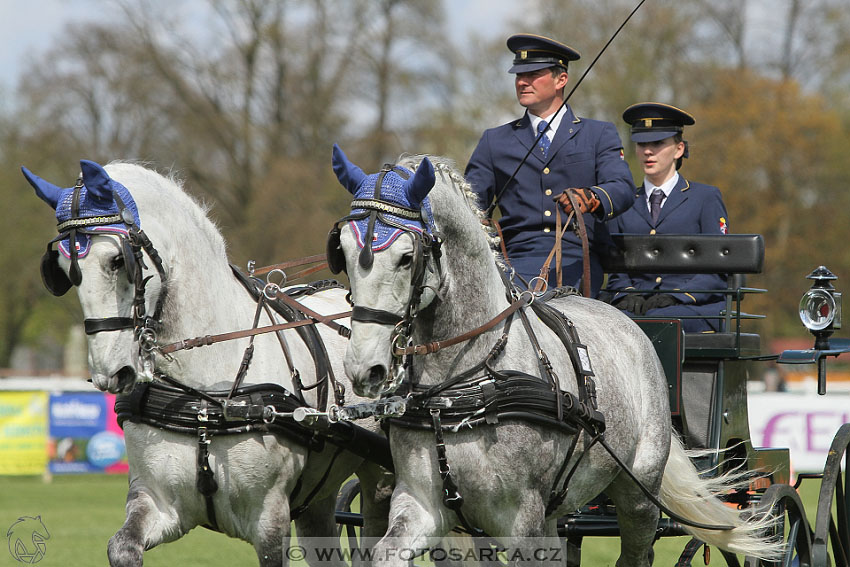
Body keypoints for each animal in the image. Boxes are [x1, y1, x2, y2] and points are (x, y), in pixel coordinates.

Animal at [25, 161, 390, 567]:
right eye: (62, 269)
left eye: (118, 261)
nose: (110, 372)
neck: (205, 394)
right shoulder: (159, 502)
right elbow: (121, 547)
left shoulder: (270, 518)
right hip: (317, 495)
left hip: (378, 479)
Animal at [328, 148, 780, 567]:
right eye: (343, 253)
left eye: (407, 257)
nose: (364, 368)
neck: (460, 387)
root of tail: (629, 322)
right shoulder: (423, 506)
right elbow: (387, 551)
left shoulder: (521, 519)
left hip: (639, 492)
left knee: (638, 551)